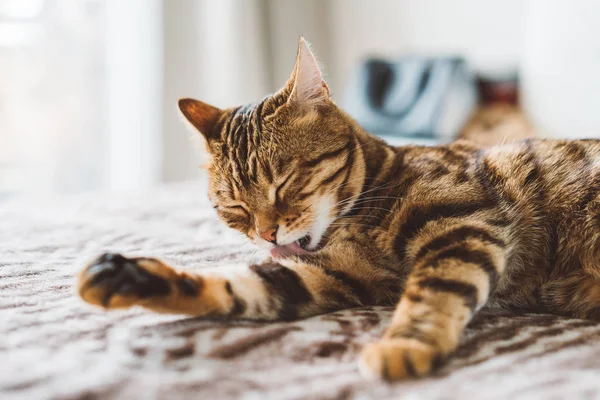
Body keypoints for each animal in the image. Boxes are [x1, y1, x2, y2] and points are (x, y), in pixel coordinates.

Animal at [77, 38, 600, 382]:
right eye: (234, 207)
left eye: (284, 182)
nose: (266, 234)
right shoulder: (330, 276)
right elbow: (233, 286)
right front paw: (132, 276)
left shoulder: (462, 224)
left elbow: (434, 292)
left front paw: (404, 344)